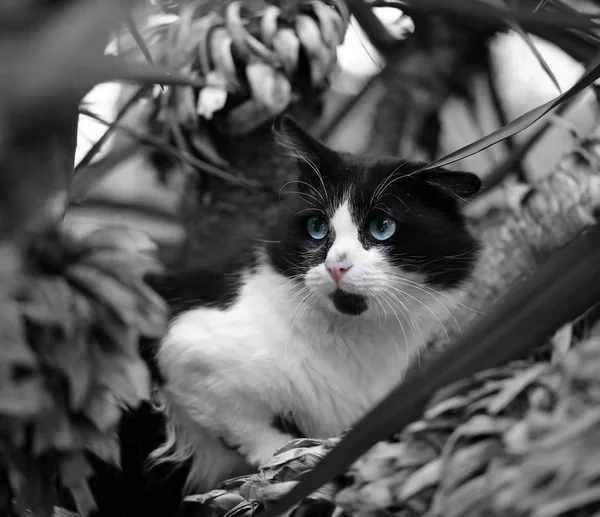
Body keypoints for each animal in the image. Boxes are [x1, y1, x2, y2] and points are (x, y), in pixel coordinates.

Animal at [151, 116, 482, 492]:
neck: (351, 342)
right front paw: (291, 464)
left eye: (382, 227)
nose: (336, 265)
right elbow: (258, 433)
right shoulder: (184, 351)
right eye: (316, 226)